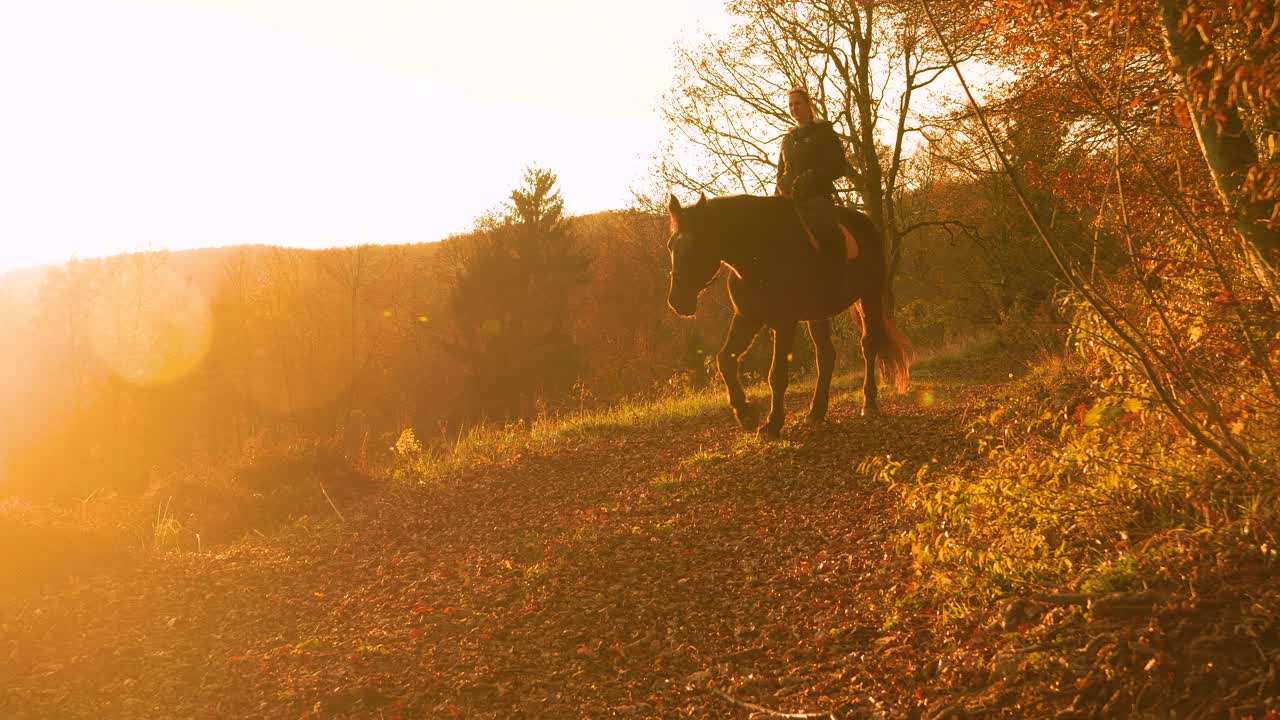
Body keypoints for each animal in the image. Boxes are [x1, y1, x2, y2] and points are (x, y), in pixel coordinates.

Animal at [665, 192, 906, 438]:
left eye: (696, 245)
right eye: (670, 246)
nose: (677, 301)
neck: (759, 255)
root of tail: (866, 223)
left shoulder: (784, 324)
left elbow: (777, 375)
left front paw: (772, 424)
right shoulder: (747, 318)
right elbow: (725, 360)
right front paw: (746, 415)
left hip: (870, 296)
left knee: (868, 346)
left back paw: (869, 403)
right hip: (818, 315)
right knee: (826, 357)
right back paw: (816, 411)